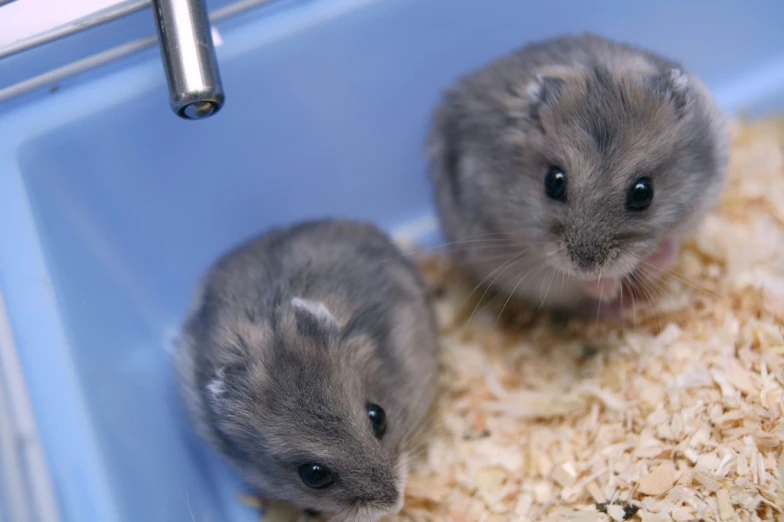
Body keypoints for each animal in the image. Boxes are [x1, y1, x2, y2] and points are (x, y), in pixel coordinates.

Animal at [428, 33, 728, 316]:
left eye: (643, 193)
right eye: (553, 182)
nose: (586, 265)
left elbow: (672, 242)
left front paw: (653, 264)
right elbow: (569, 279)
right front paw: (608, 288)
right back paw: (619, 308)